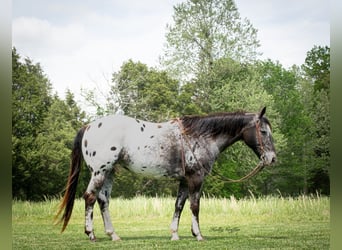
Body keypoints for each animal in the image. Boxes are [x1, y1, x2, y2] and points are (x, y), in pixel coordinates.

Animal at [55, 106, 276, 241]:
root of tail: (89, 126)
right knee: (90, 197)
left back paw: (113, 235)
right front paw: (198, 235)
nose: (272, 158)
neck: (199, 136)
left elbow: (179, 205)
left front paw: (175, 234)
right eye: (263, 132)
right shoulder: (196, 178)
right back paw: (91, 234)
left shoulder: (185, 181)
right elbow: (195, 206)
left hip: (108, 173)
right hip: (99, 172)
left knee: (103, 201)